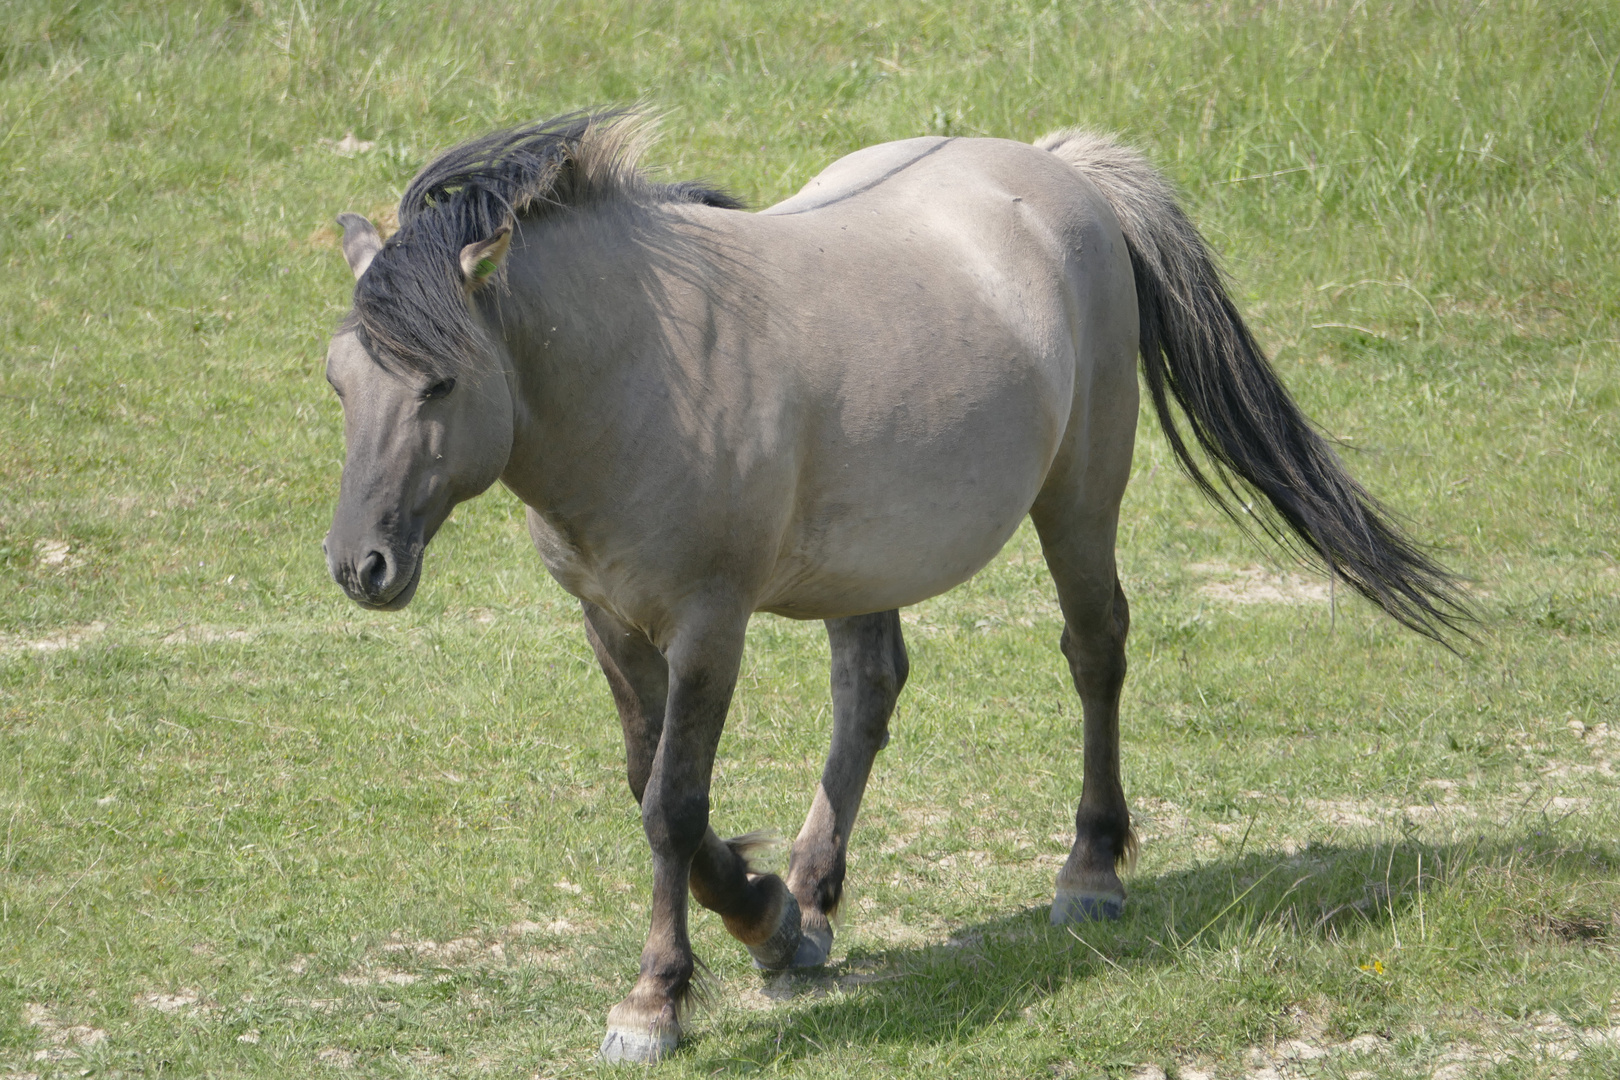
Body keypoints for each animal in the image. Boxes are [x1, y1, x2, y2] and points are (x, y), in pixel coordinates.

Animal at [319, 111, 1470, 1062]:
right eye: (339, 380)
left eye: (440, 382)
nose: (359, 565)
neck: (649, 370)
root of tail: (1064, 171)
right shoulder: (611, 622)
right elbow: (652, 785)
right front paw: (769, 919)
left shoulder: (710, 625)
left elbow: (673, 807)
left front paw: (656, 1001)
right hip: (866, 562)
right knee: (868, 693)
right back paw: (814, 902)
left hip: (1080, 500)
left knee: (1095, 650)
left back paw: (1090, 873)